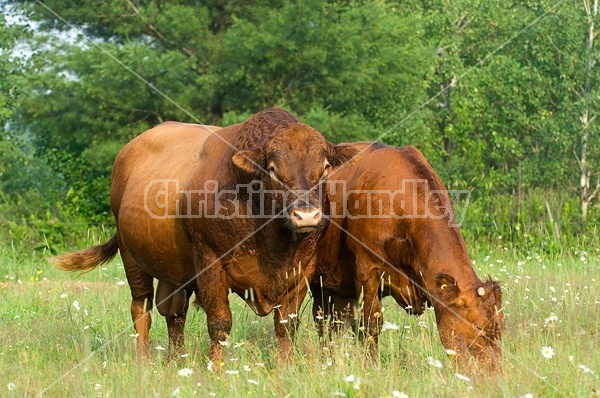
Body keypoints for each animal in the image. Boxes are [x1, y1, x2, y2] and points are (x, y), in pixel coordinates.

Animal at [50, 108, 356, 364]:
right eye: (272, 169)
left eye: (326, 167)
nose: (306, 215)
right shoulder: (211, 265)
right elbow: (219, 323)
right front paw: (216, 368)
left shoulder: (300, 270)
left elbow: (286, 325)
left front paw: (286, 366)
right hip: (132, 258)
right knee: (142, 309)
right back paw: (144, 361)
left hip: (175, 269)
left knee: (174, 311)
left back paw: (177, 360)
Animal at [312, 142, 504, 370]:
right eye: (477, 327)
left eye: (499, 328)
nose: (495, 371)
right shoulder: (367, 269)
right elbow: (371, 323)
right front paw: (372, 366)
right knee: (322, 323)